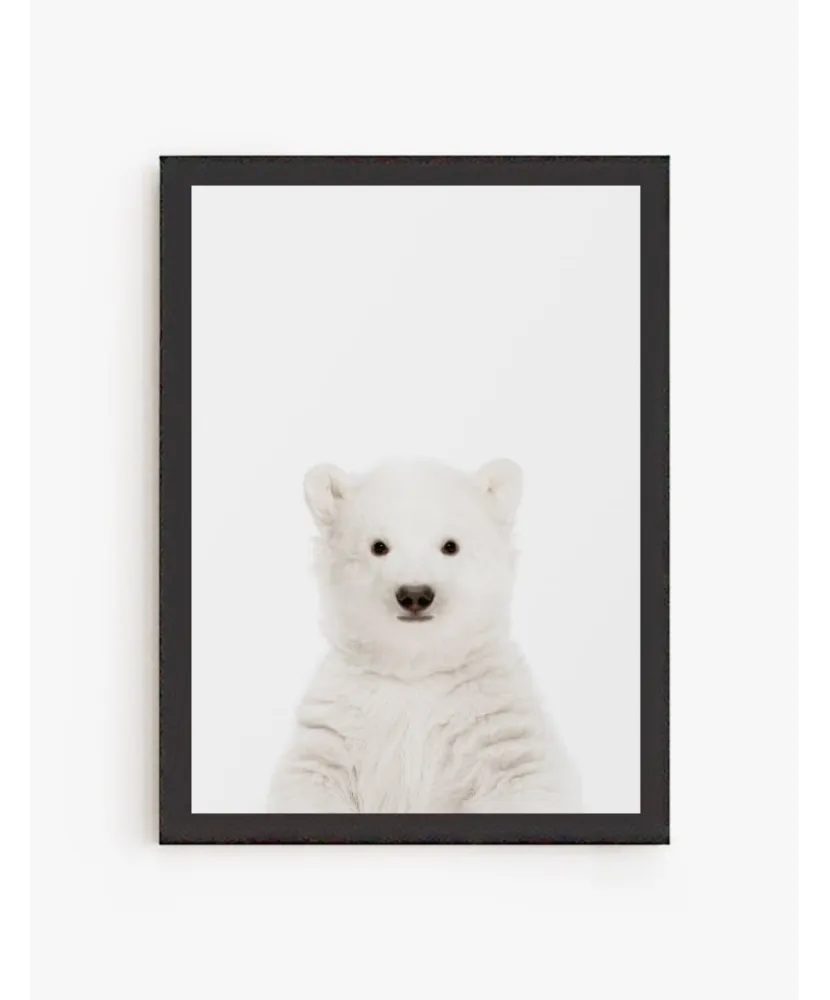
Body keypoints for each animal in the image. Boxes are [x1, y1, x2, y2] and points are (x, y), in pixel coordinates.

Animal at [267, 457, 580, 813]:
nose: (415, 594)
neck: (416, 666)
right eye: (378, 546)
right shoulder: (342, 717)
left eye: (450, 545)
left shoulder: (494, 711)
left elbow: (527, 777)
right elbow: (311, 777)